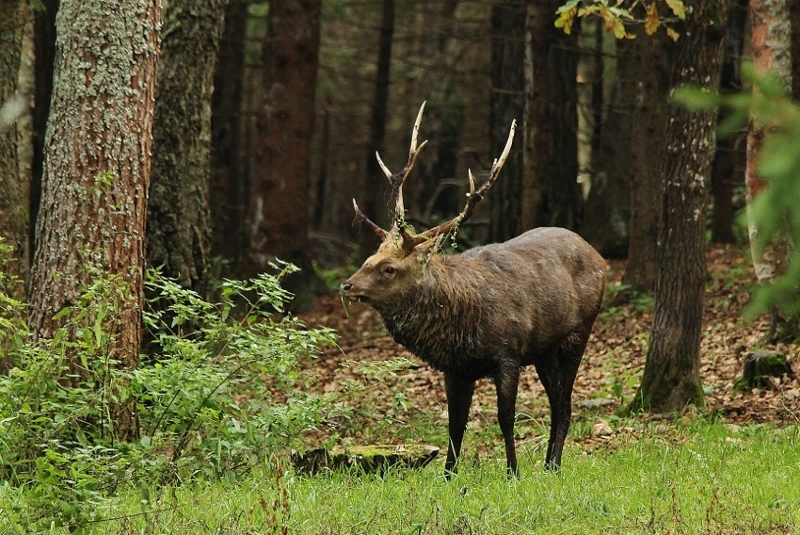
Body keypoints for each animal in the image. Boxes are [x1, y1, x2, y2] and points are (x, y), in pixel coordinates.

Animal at [340, 103, 608, 478]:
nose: (346, 285)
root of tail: (599, 256)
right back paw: (547, 464)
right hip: (544, 350)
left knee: (565, 404)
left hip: (577, 333)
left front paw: (512, 472)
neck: (462, 323)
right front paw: (448, 475)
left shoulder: (508, 354)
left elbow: (505, 418)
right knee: (558, 401)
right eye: (369, 258)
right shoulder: (456, 369)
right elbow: (455, 425)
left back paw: (553, 466)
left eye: (389, 269)